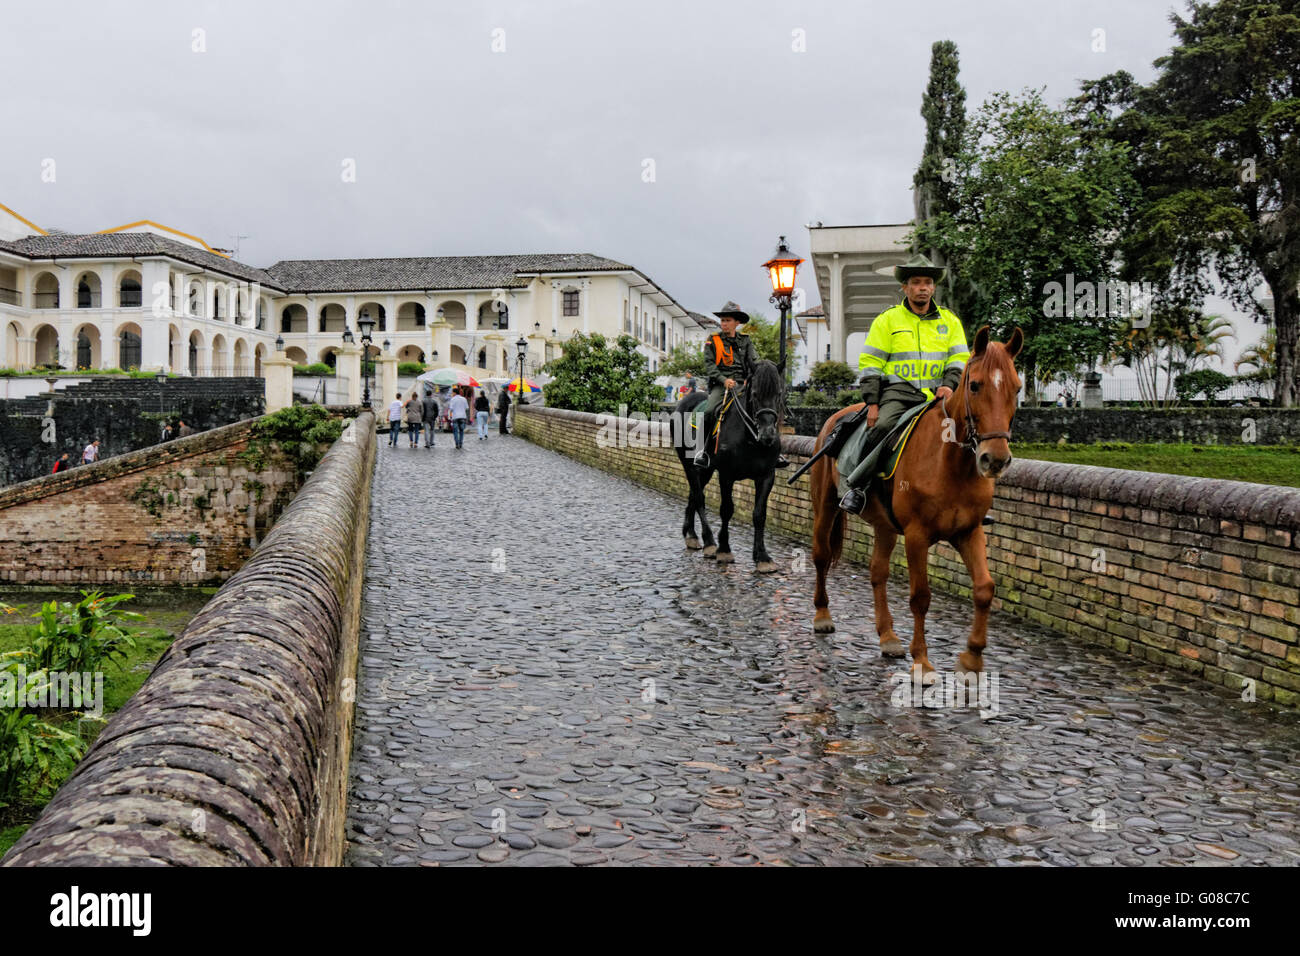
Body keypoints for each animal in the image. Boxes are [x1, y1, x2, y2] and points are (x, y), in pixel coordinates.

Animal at [670, 356, 780, 567]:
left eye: (779, 394)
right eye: (755, 394)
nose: (768, 435)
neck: (751, 438)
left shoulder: (766, 476)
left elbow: (759, 514)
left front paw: (762, 556)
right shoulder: (726, 475)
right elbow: (727, 509)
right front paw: (724, 548)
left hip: (705, 470)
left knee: (693, 495)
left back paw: (691, 534)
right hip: (689, 465)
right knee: (699, 497)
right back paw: (709, 541)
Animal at [800, 327, 1024, 681]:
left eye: (1017, 388)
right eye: (975, 385)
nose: (996, 459)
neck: (951, 463)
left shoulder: (969, 531)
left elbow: (985, 589)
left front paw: (972, 656)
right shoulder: (917, 536)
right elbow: (920, 596)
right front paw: (922, 661)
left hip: (884, 525)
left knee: (877, 572)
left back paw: (888, 636)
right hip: (826, 506)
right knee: (821, 556)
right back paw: (822, 615)